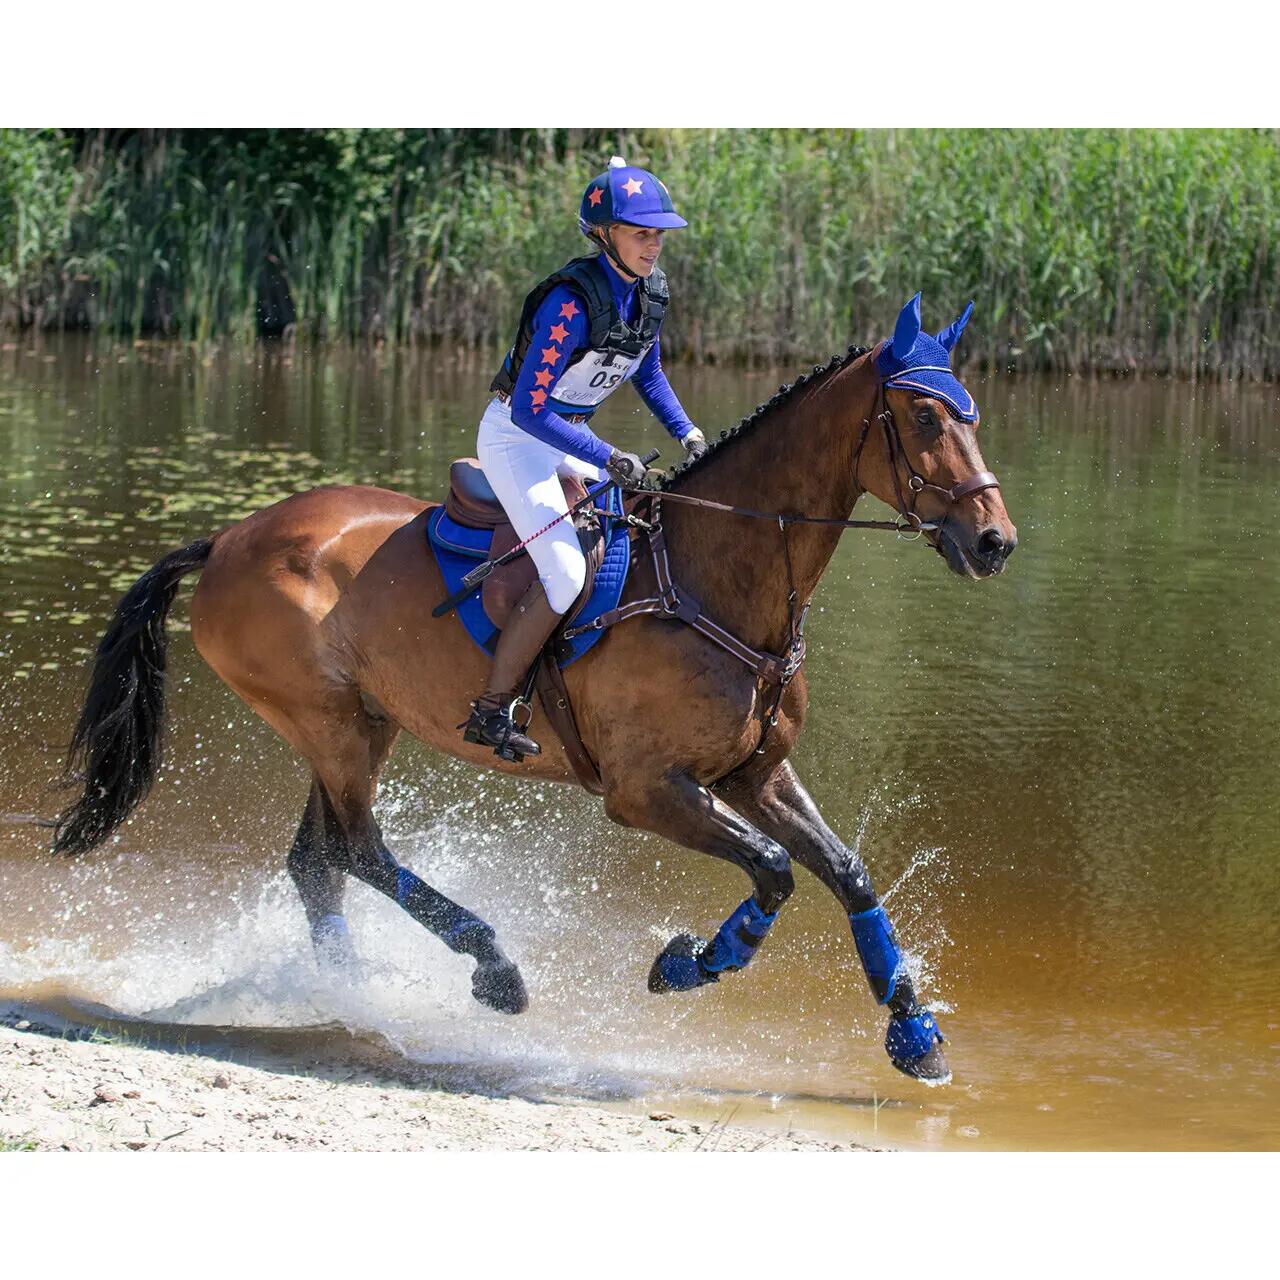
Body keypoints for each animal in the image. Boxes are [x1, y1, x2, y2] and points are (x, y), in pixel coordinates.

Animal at [51, 293, 1016, 1086]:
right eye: (924, 414)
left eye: (973, 413)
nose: (994, 541)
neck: (715, 577)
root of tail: (226, 538)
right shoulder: (646, 790)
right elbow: (775, 871)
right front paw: (689, 964)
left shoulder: (755, 773)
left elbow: (847, 872)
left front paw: (915, 1034)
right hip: (329, 723)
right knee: (358, 850)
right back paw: (492, 972)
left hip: (361, 721)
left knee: (319, 864)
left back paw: (350, 996)